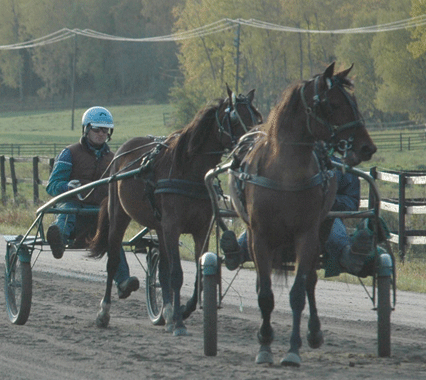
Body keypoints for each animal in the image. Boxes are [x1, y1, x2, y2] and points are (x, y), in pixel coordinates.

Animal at [90, 85, 262, 332]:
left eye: (258, 116)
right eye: (236, 118)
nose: (256, 144)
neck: (188, 171)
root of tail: (121, 151)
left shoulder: (200, 229)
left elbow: (196, 274)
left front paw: (183, 309)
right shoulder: (173, 226)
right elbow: (177, 274)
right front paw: (179, 323)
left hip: (159, 227)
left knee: (161, 268)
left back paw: (168, 313)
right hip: (119, 215)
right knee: (113, 260)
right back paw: (104, 312)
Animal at [230, 62, 376, 366]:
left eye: (354, 101)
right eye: (334, 104)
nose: (367, 147)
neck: (284, 175)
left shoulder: (306, 234)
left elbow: (299, 292)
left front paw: (293, 350)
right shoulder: (260, 235)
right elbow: (264, 293)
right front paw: (264, 344)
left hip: (321, 229)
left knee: (310, 280)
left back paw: (314, 332)